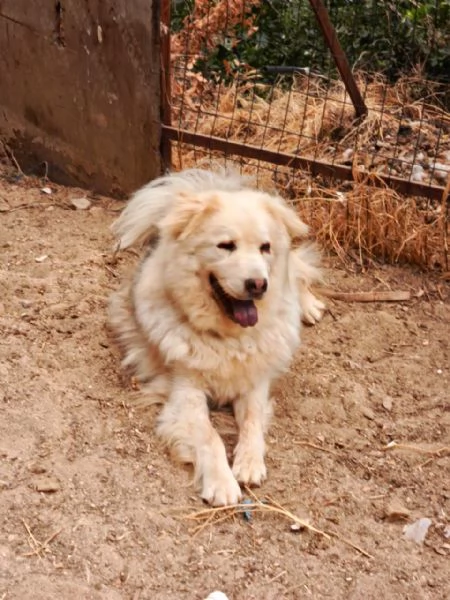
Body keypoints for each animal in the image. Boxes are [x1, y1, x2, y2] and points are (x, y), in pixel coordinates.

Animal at [110, 169, 326, 506]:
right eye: (225, 246)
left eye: (264, 247)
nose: (258, 285)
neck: (228, 339)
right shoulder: (186, 390)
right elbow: (210, 437)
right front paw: (222, 483)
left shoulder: (254, 383)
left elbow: (252, 422)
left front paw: (249, 463)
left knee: (298, 271)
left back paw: (309, 305)